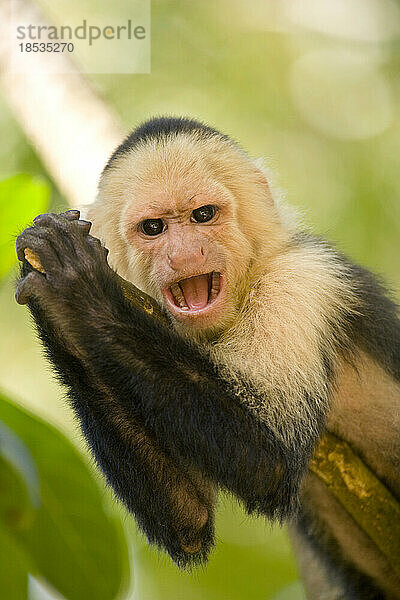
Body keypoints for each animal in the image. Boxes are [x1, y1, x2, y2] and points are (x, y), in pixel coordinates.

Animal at [14, 116, 400, 596]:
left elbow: (269, 458)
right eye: (154, 228)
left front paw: (77, 285)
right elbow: (189, 519)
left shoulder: (301, 281)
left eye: (203, 216)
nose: (185, 254)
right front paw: (48, 298)